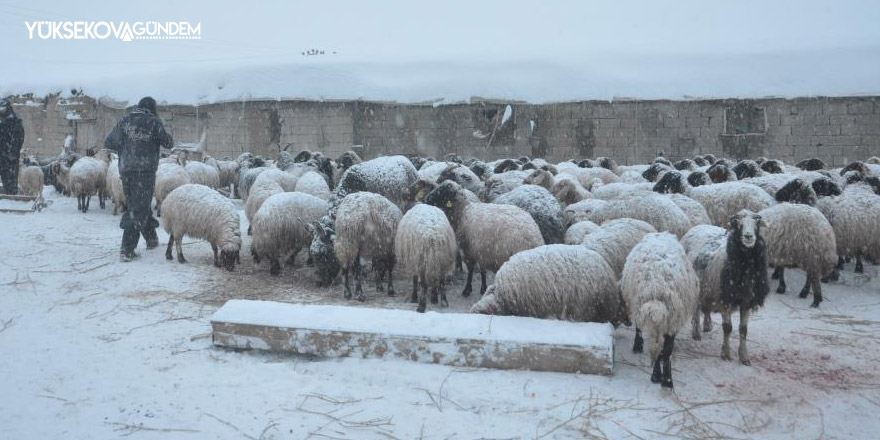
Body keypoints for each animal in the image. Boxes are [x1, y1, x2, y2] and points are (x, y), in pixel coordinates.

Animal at [620, 232, 700, 386]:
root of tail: (660, 233)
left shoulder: (671, 323)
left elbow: (665, 350)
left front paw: (665, 378)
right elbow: (660, 349)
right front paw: (659, 376)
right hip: (638, 306)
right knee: (639, 328)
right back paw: (637, 346)